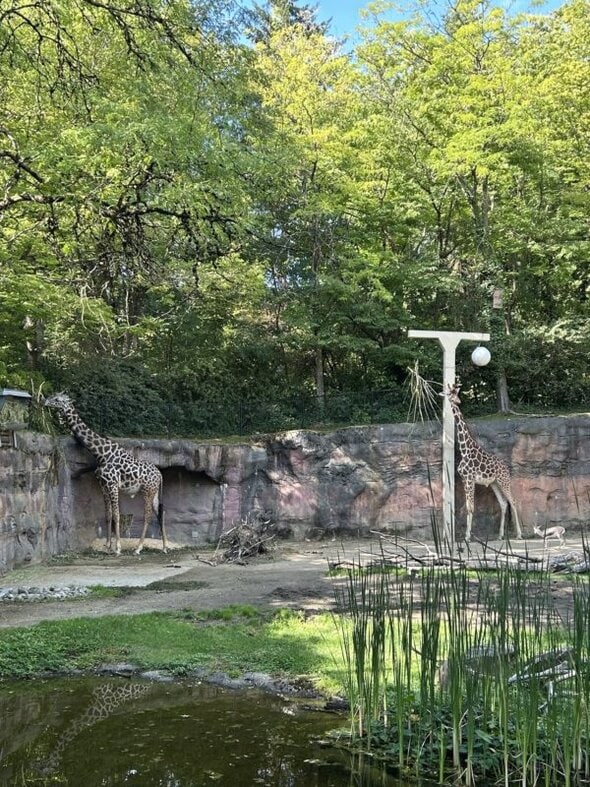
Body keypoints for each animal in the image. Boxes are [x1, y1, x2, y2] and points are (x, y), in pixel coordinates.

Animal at [43, 393, 167, 555]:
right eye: (53, 396)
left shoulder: (113, 484)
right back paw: (164, 547)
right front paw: (108, 545)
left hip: (148, 490)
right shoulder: (103, 485)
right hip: (154, 492)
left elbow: (116, 514)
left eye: (58, 399)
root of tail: (160, 475)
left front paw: (118, 548)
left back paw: (138, 548)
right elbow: (108, 515)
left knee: (148, 515)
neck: (101, 454)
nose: (44, 401)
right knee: (160, 512)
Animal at [444, 384, 523, 542]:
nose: (457, 401)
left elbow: (471, 507)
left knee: (513, 501)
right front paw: (466, 535)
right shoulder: (464, 479)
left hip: (504, 480)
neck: (465, 449)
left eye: (453, 393)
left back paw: (519, 534)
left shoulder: (470, 478)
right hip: (494, 483)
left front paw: (468, 537)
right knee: (503, 503)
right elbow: (468, 506)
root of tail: (506, 467)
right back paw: (500, 535)